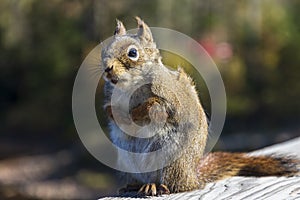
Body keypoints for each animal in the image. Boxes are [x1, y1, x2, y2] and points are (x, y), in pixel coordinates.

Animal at [99, 17, 298, 195]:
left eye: (133, 53)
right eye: (104, 50)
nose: (107, 68)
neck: (129, 86)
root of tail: (192, 177)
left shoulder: (169, 100)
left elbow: (153, 107)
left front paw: (135, 113)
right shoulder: (110, 98)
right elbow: (110, 110)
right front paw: (118, 114)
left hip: (171, 160)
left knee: (173, 185)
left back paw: (155, 186)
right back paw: (134, 185)